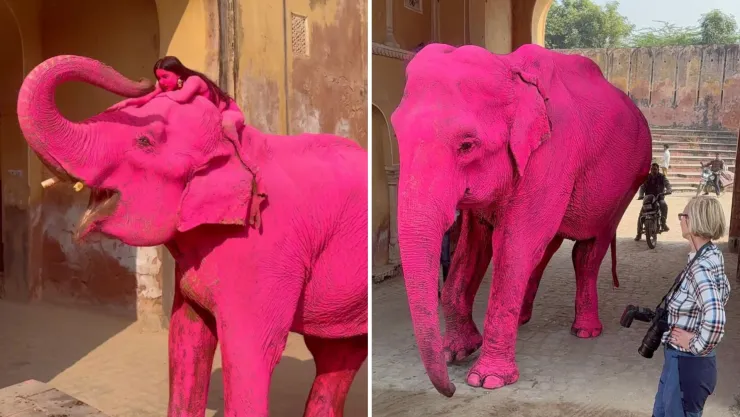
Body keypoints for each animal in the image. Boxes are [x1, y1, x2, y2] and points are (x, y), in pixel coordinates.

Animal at [17, 55, 368, 417]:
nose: (150, 78)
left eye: (144, 142)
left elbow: (250, 352)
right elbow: (185, 337)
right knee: (338, 354)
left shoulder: (266, 251)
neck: (233, 147)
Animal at [390, 43, 652, 397]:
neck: (509, 69)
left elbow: (514, 243)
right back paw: (524, 320)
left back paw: (585, 331)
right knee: (547, 248)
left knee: (587, 250)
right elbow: (475, 244)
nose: (450, 389)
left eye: (467, 145)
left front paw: (487, 380)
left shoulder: (553, 153)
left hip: (628, 184)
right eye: (397, 135)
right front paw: (455, 353)